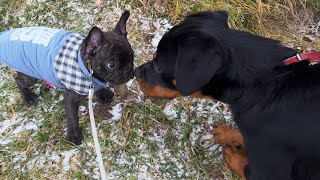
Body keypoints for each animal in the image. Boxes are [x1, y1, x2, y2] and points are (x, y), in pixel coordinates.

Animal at [136, 10, 320, 179]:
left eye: (158, 66)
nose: (136, 72)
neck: (260, 83)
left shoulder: (270, 168)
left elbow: (245, 168)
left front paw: (233, 155)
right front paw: (227, 134)